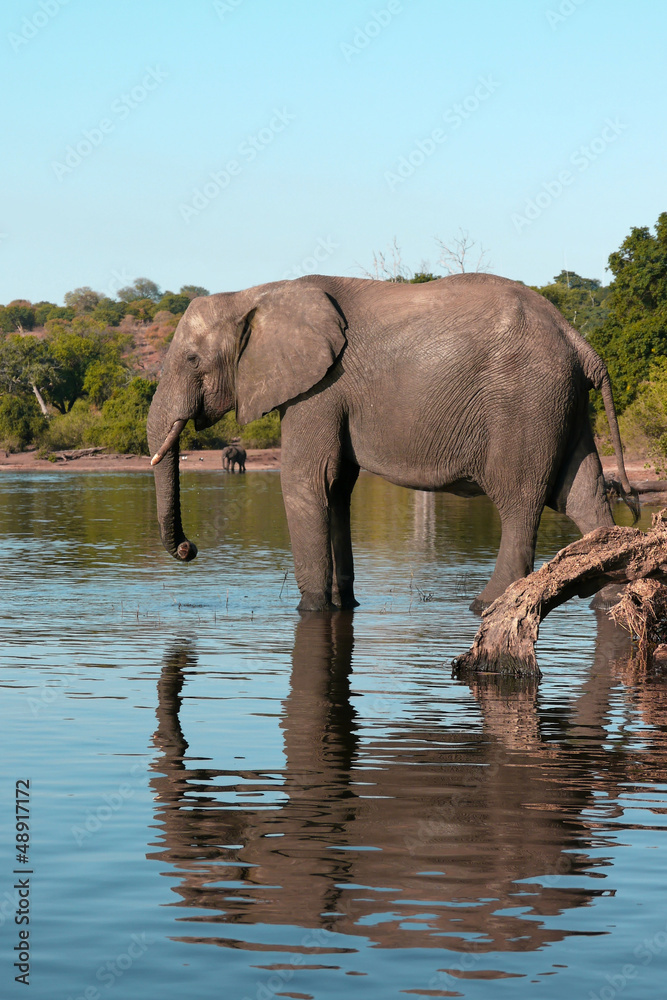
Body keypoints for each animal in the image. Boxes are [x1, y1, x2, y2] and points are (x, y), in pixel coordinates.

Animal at [147, 273, 637, 613]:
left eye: (192, 360)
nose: (190, 549)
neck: (254, 295)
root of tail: (578, 339)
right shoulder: (327, 395)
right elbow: (336, 488)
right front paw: (344, 606)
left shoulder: (318, 390)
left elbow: (306, 483)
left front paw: (311, 610)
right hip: (564, 404)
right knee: (581, 493)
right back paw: (610, 597)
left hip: (525, 403)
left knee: (519, 500)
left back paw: (488, 604)